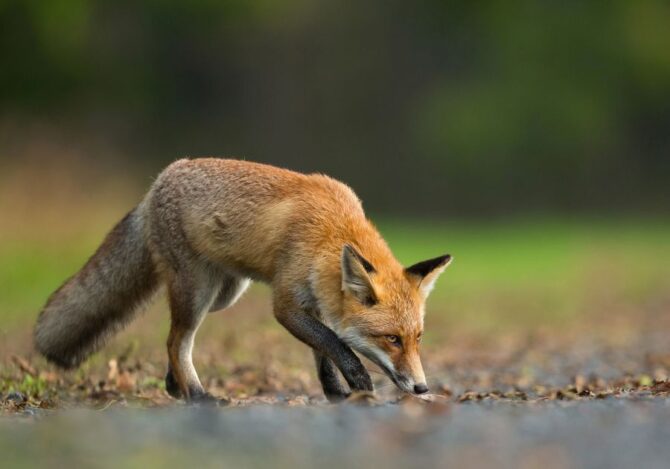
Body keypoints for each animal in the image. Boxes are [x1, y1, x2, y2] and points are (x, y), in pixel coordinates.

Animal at [34, 158, 451, 402]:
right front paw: (360, 385)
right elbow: (337, 345)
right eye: (391, 339)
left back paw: (174, 385)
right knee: (175, 340)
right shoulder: (286, 305)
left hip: (223, 295)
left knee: (177, 339)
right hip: (196, 291)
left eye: (418, 339)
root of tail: (158, 182)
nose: (422, 387)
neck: (330, 236)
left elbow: (324, 353)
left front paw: (335, 394)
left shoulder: (315, 304)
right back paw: (197, 394)